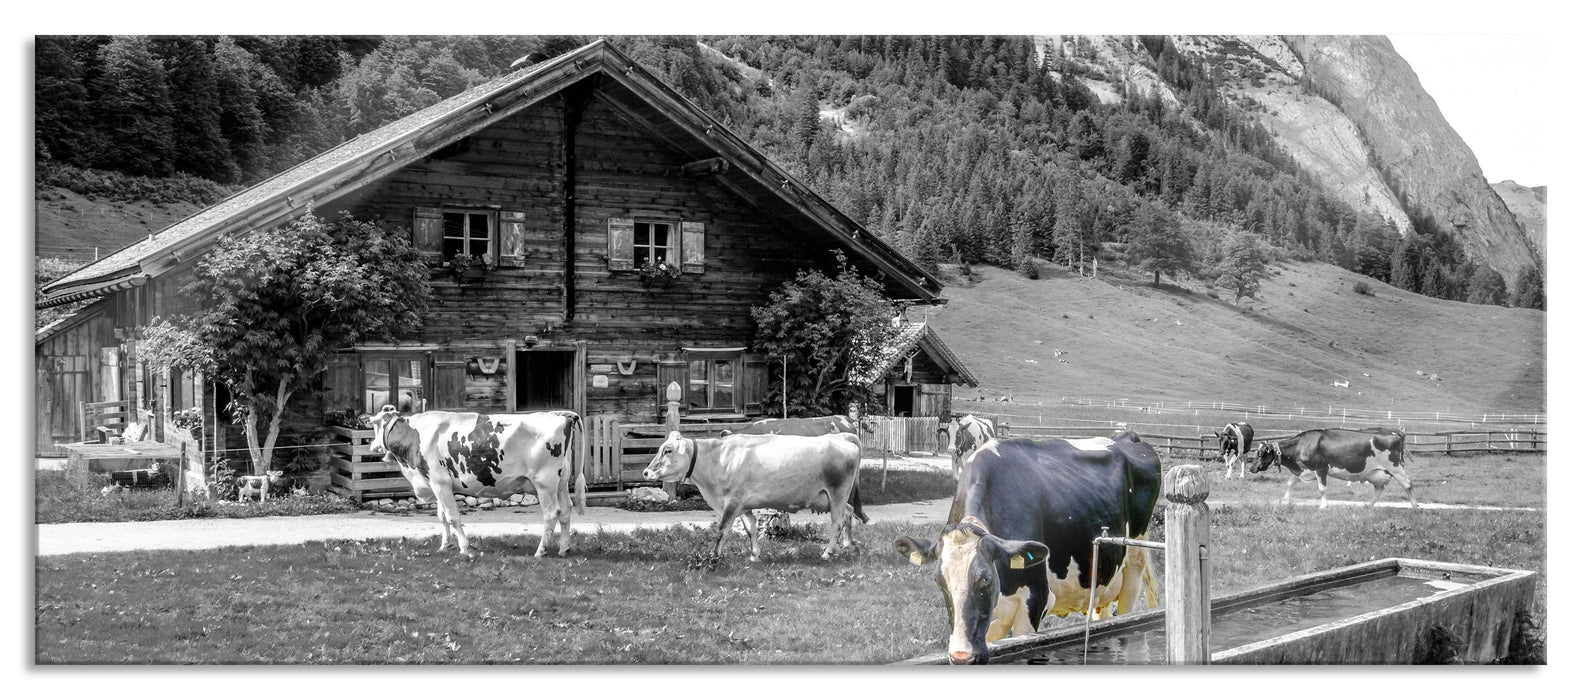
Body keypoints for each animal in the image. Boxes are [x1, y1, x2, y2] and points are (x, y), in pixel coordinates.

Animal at [367, 406, 587, 557]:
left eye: (374, 424)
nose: (371, 446)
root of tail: (561, 414)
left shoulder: (440, 482)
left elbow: (453, 517)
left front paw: (464, 548)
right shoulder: (436, 483)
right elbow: (442, 517)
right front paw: (444, 546)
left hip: (545, 483)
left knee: (551, 514)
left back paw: (540, 552)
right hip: (561, 482)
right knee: (565, 510)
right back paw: (564, 549)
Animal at [641, 431, 863, 562]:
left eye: (668, 450)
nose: (646, 472)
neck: (718, 458)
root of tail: (840, 437)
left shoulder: (733, 501)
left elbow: (722, 530)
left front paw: (714, 556)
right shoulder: (744, 505)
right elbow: (751, 530)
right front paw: (754, 555)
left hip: (837, 492)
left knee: (837, 521)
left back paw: (828, 552)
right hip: (830, 498)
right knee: (849, 513)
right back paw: (848, 545)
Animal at [894, 432, 1162, 665]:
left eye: (986, 579)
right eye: (939, 581)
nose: (961, 656)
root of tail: (1127, 437)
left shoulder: (1035, 599)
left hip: (1133, 568)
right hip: (1099, 584)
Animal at [1249, 428, 1416, 509]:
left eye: (1261, 453)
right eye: (1256, 452)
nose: (1251, 469)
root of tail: (1394, 433)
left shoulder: (1320, 468)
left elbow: (1322, 489)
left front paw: (1323, 506)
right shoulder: (1305, 470)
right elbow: (1290, 483)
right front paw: (1285, 500)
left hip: (1395, 467)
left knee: (1407, 484)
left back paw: (1415, 506)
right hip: (1376, 473)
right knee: (1379, 488)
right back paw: (1368, 506)